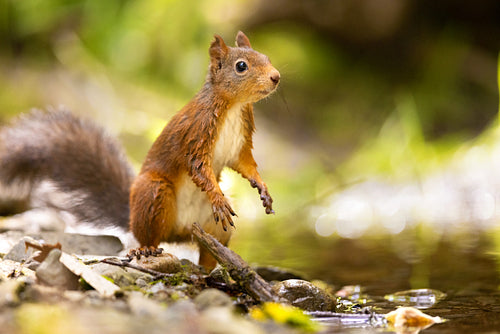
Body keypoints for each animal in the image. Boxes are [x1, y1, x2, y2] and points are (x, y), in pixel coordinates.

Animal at [0, 32, 280, 270]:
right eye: (241, 66)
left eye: (266, 57)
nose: (276, 76)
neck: (234, 105)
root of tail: (180, 231)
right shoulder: (196, 135)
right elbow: (199, 168)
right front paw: (218, 198)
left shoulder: (239, 144)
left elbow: (246, 164)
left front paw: (263, 188)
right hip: (154, 192)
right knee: (150, 236)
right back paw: (146, 249)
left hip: (216, 228)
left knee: (209, 249)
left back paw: (215, 267)